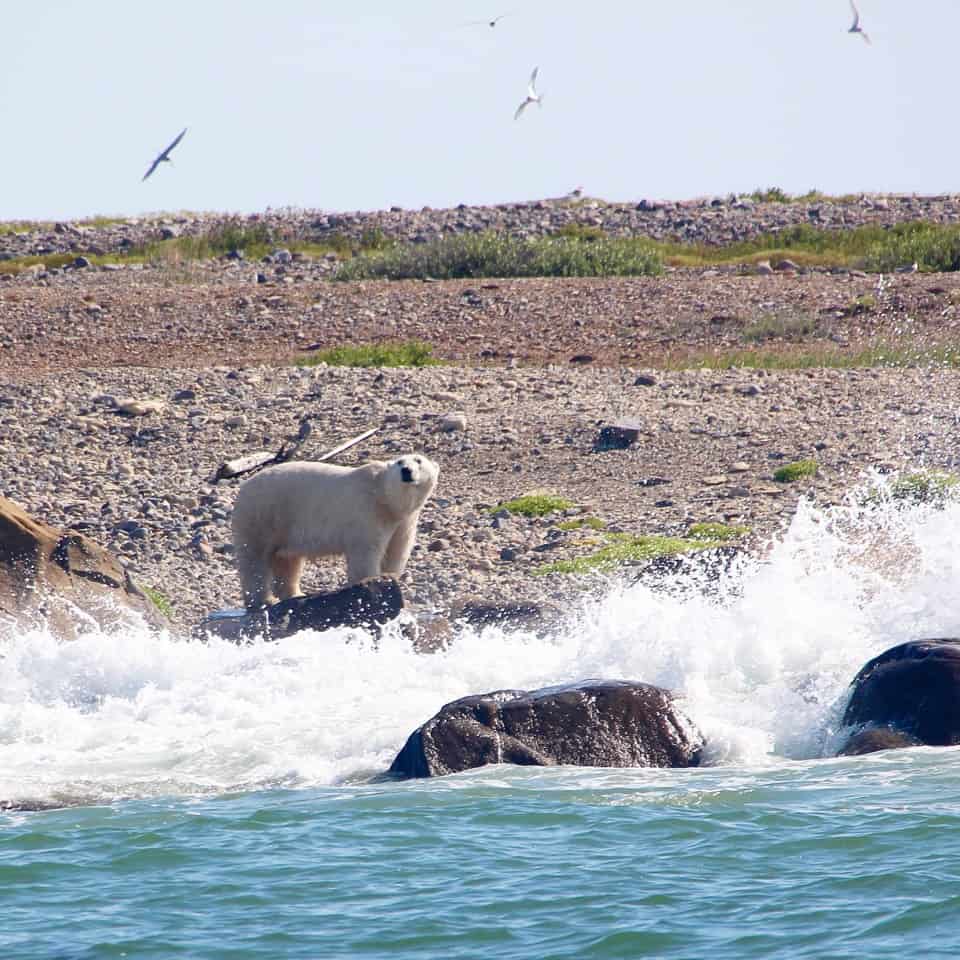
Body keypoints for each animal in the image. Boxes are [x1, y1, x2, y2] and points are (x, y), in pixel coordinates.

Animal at [231, 458, 440, 608]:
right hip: (262, 514)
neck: (385, 498)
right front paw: (371, 585)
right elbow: (366, 552)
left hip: (282, 526)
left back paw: (294, 594)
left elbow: (395, 551)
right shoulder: (367, 512)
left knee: (287, 561)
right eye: (399, 462)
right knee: (255, 559)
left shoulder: (403, 522)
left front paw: (389, 580)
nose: (406, 470)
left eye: (419, 460)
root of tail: (242, 488)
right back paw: (263, 600)